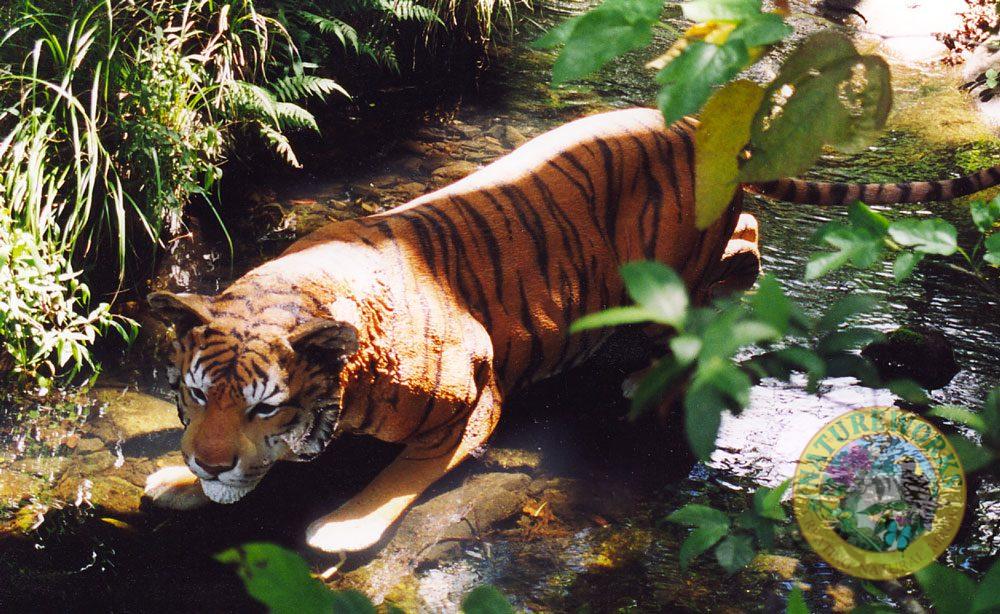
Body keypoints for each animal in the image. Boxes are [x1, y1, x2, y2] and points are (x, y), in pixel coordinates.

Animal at [144, 107, 1000, 553]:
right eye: (196, 396)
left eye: (267, 406)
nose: (209, 462)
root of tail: (694, 121)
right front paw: (183, 482)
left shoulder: (473, 398)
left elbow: (402, 474)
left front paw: (344, 528)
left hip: (673, 260)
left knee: (726, 274)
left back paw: (648, 367)